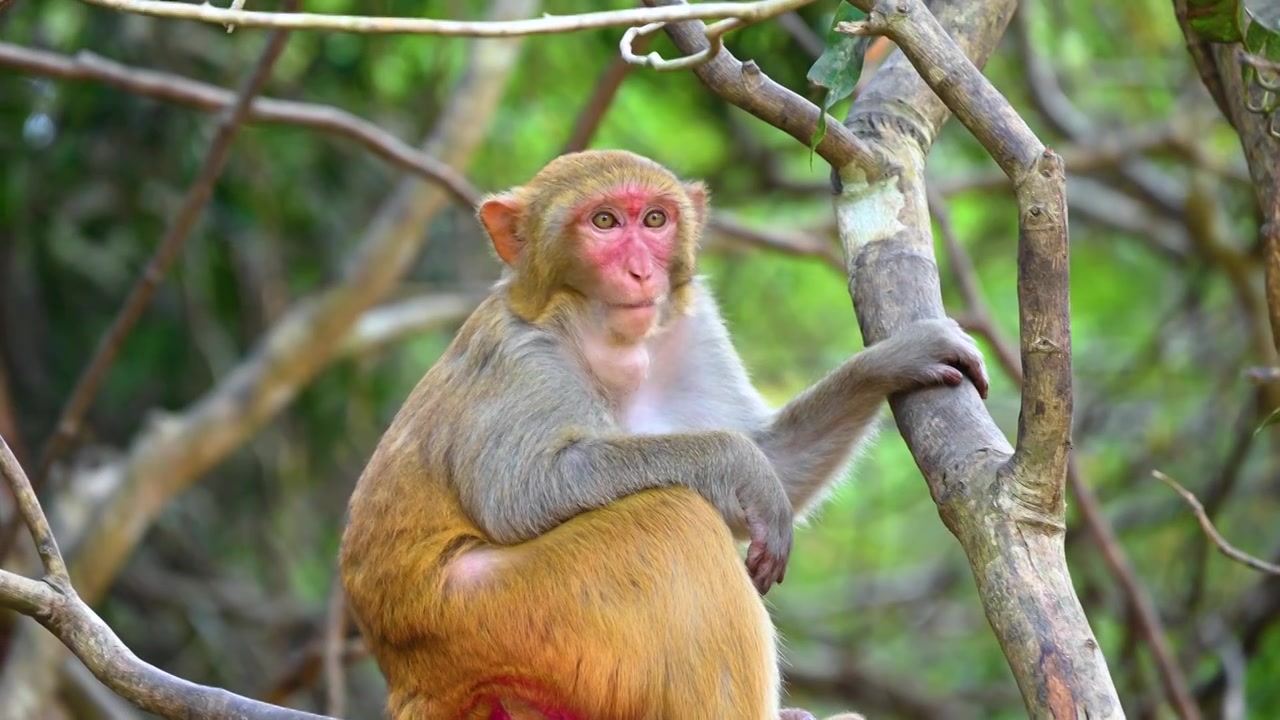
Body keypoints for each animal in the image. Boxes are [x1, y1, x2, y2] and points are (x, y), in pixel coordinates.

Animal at [340, 147, 988, 717]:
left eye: (655, 219)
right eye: (603, 221)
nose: (641, 272)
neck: (604, 342)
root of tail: (412, 682)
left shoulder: (691, 325)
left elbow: (776, 459)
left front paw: (895, 359)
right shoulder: (518, 356)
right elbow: (520, 492)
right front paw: (736, 464)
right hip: (493, 621)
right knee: (671, 519)